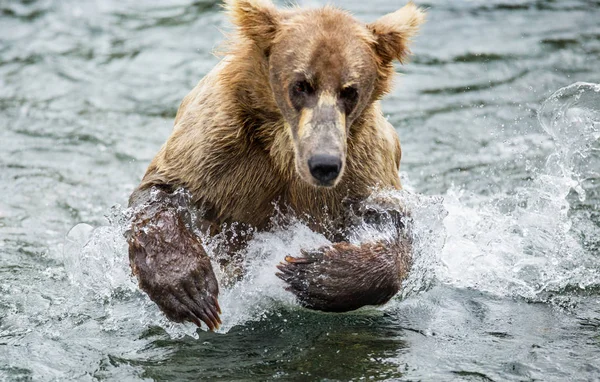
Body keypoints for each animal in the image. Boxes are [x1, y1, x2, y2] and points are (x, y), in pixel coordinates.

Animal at [126, 0, 426, 330]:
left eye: (350, 90)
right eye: (302, 85)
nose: (324, 163)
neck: (283, 148)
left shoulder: (363, 162)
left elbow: (389, 222)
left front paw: (312, 272)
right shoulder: (219, 143)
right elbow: (163, 190)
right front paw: (190, 290)